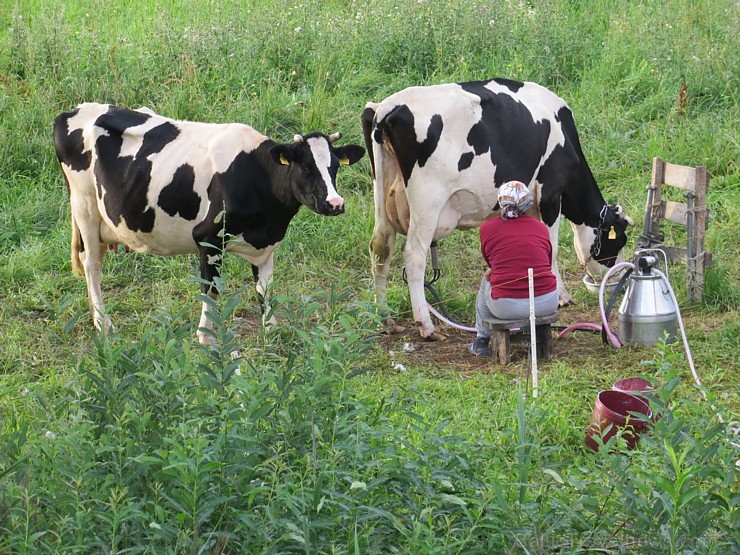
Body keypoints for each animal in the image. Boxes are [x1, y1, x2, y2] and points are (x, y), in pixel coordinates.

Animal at [53, 101, 366, 340]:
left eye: (335, 167)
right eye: (305, 167)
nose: (335, 203)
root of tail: (75, 110)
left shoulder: (266, 245)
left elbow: (265, 288)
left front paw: (271, 331)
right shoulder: (208, 237)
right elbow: (211, 288)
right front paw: (207, 338)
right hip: (84, 206)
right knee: (91, 264)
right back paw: (103, 323)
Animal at [362, 77, 632, 338]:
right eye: (618, 241)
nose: (617, 278)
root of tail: (388, 107)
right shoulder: (550, 194)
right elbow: (552, 249)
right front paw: (561, 297)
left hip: (381, 192)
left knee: (380, 248)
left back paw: (384, 320)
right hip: (428, 200)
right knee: (414, 255)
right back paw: (426, 326)